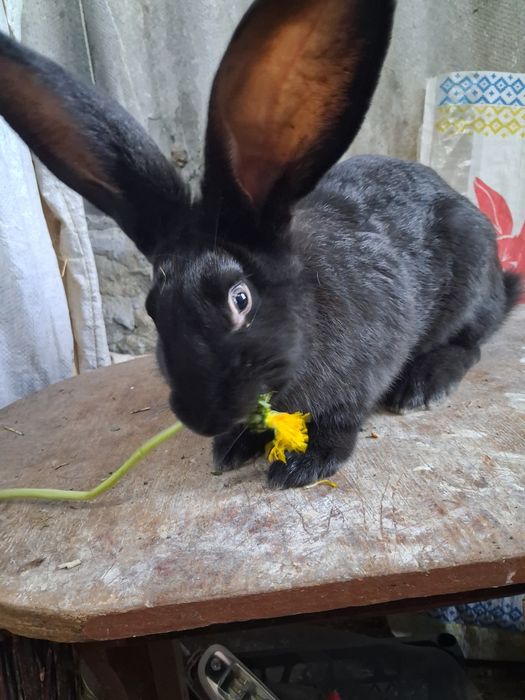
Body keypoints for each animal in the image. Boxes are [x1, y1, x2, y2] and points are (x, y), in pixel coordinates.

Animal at [0, 0, 521, 489]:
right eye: (152, 308)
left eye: (241, 299)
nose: (202, 417)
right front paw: (230, 448)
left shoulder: (368, 364)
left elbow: (343, 415)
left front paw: (304, 464)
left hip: (470, 273)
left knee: (473, 340)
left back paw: (424, 384)